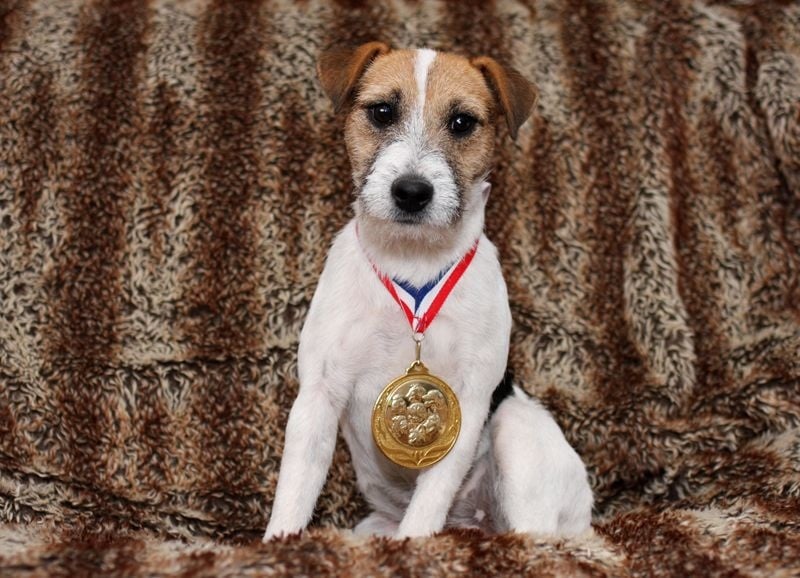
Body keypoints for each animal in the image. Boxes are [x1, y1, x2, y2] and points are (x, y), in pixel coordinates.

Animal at [264, 43, 592, 540]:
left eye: (462, 123)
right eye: (382, 112)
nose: (412, 192)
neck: (413, 266)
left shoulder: (467, 406)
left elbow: (428, 504)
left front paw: (412, 547)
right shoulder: (318, 395)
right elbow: (295, 491)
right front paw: (278, 543)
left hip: (516, 434)